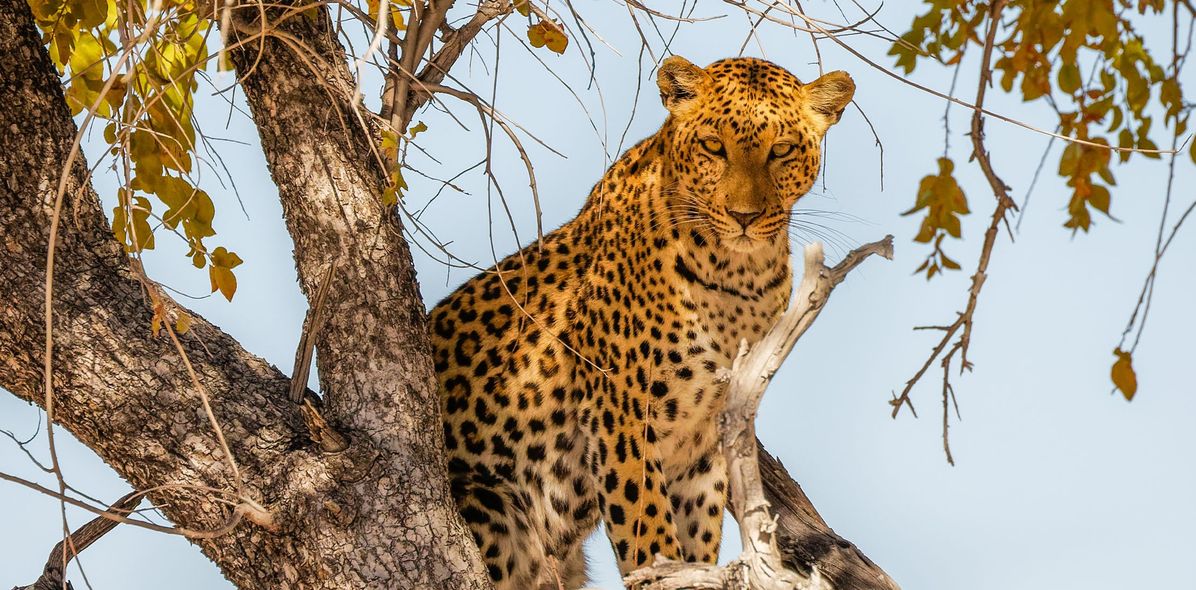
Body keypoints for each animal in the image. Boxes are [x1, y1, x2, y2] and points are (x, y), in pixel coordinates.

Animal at [425, 56, 856, 588]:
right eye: (714, 145)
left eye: (781, 150)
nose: (744, 217)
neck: (738, 277)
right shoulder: (622, 409)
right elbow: (646, 525)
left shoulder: (706, 436)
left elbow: (697, 533)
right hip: (496, 507)